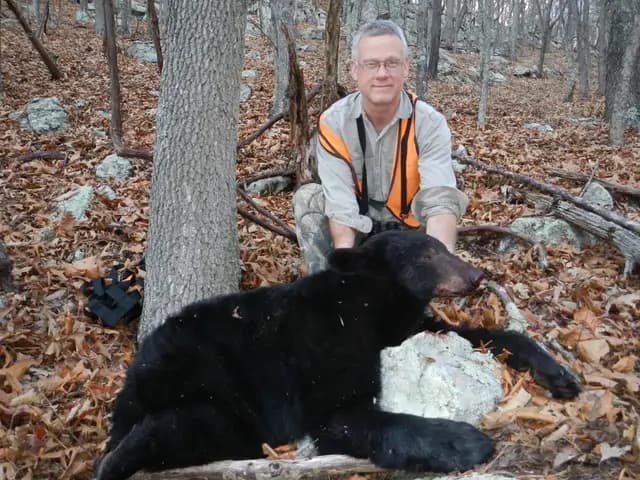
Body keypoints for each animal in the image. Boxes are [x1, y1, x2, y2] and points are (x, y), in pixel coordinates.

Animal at [95, 231, 581, 480]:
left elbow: (478, 334)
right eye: (428, 254)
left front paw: (559, 373)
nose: (476, 275)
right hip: (210, 377)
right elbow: (343, 414)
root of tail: (136, 368)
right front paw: (465, 440)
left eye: (444, 247)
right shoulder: (326, 341)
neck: (374, 302)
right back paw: (112, 463)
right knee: (165, 429)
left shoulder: (404, 328)